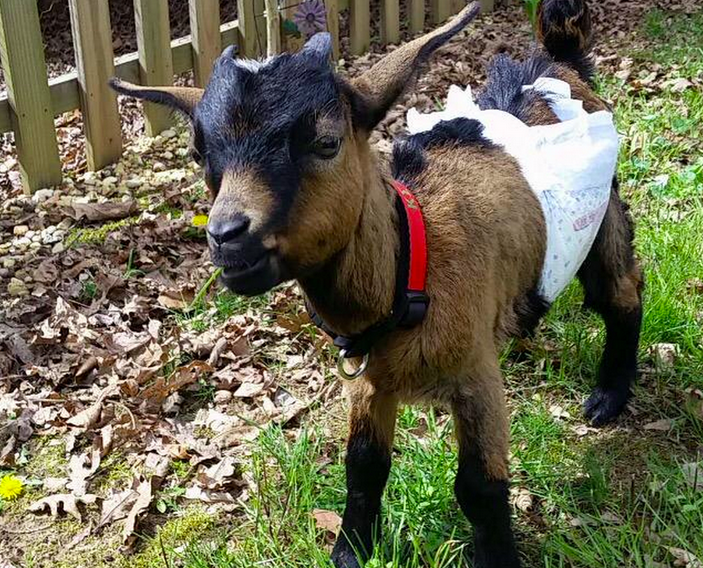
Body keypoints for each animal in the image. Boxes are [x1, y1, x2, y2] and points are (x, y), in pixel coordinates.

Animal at [110, 0, 643, 565]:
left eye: (326, 142)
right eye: (199, 153)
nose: (227, 237)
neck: (411, 266)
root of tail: (555, 63)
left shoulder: (475, 374)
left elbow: (479, 487)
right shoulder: (369, 382)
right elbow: (364, 467)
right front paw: (350, 550)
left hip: (603, 213)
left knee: (622, 292)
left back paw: (609, 396)